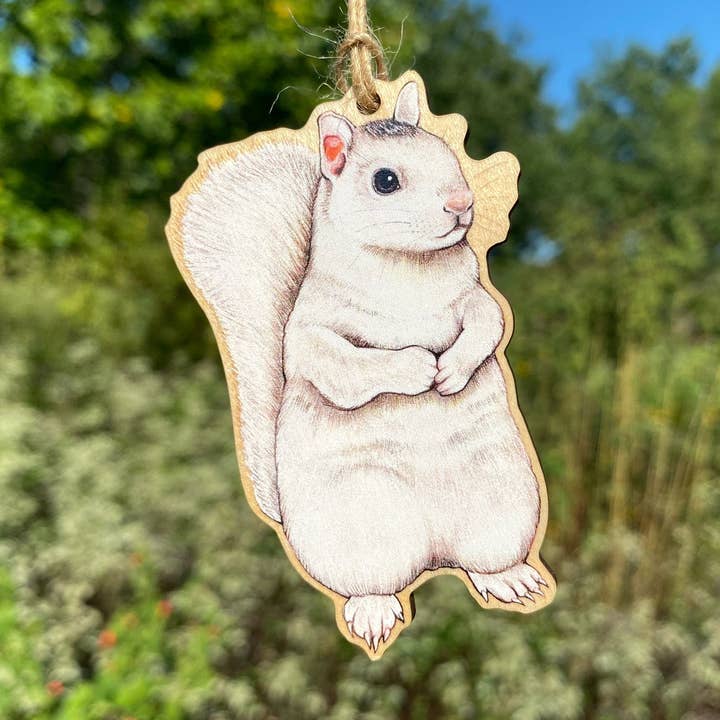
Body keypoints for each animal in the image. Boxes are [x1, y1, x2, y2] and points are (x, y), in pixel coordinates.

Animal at [174, 80, 548, 652]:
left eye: (448, 154)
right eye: (385, 181)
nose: (462, 204)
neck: (407, 268)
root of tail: (433, 557)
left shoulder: (472, 296)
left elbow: (486, 323)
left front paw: (453, 370)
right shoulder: (311, 332)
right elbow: (344, 364)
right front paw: (416, 369)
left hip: (501, 503)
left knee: (482, 558)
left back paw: (508, 578)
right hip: (363, 526)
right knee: (374, 582)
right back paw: (374, 611)